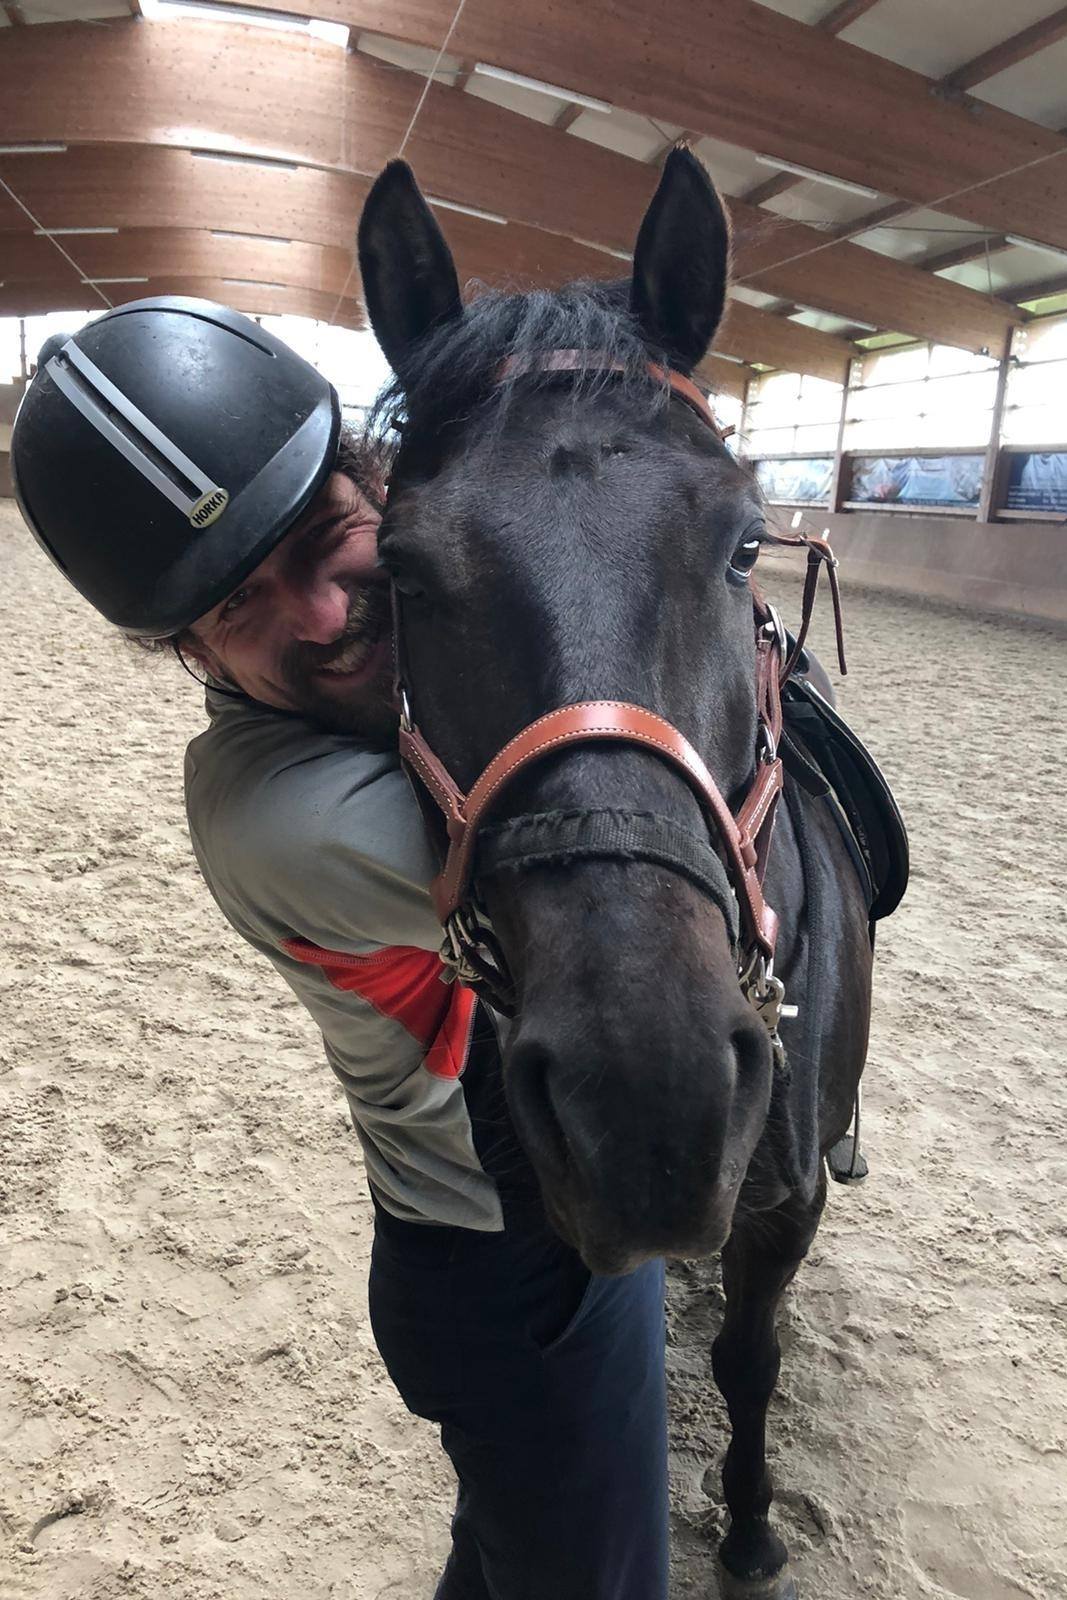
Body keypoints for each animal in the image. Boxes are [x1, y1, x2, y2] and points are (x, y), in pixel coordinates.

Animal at [357, 147, 878, 1600]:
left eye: (743, 542)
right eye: (399, 567)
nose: (644, 1099)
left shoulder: (784, 1206)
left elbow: (748, 1358)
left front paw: (749, 1525)